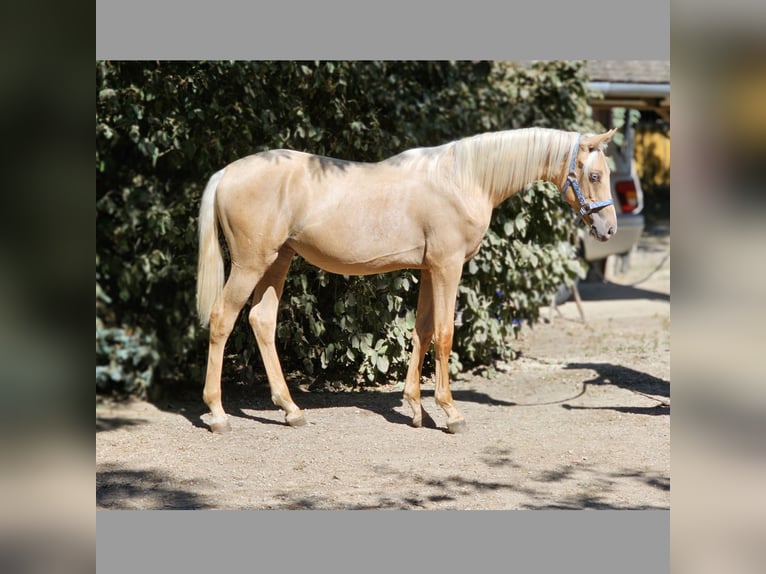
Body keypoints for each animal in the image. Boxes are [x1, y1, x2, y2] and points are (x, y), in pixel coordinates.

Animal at [196, 128, 616, 434]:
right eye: (594, 175)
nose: (608, 229)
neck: (461, 180)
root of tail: (227, 173)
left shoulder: (430, 270)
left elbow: (423, 331)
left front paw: (416, 408)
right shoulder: (447, 268)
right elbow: (445, 334)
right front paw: (450, 412)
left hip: (277, 261)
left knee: (261, 321)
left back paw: (291, 410)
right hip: (251, 264)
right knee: (221, 319)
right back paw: (218, 414)